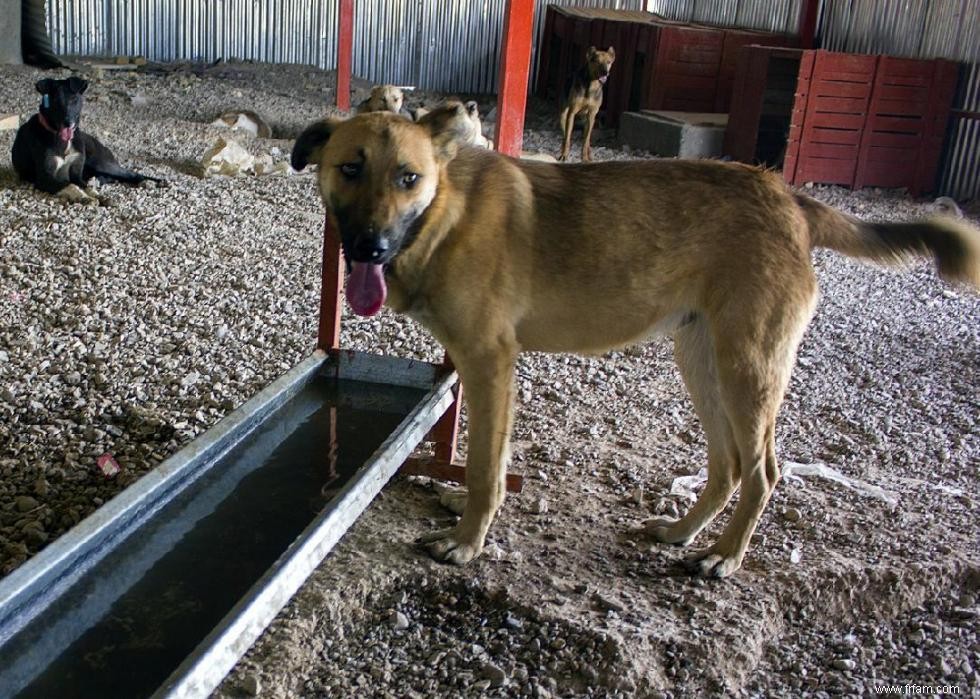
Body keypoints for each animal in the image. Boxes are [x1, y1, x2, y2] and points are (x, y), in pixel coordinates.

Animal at [12, 77, 165, 202]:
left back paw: (157, 181)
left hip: (100, 162)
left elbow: (83, 186)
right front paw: (83, 197)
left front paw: (96, 195)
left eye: (74, 100)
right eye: (55, 102)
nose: (68, 123)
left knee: (133, 174)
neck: (62, 140)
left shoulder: (76, 173)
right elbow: (70, 185)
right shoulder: (44, 177)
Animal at [290, 104, 980, 580]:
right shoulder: (477, 367)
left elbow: (488, 464)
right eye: (350, 169)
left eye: (408, 178)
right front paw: (463, 506)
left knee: (764, 470)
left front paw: (467, 541)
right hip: (703, 363)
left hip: (748, 369)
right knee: (729, 465)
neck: (444, 212)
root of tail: (787, 197)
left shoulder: (490, 362)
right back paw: (683, 534)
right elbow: (487, 454)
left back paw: (724, 557)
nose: (370, 248)